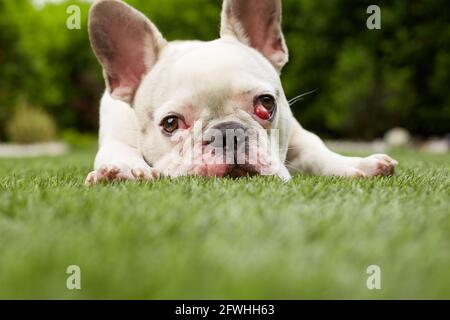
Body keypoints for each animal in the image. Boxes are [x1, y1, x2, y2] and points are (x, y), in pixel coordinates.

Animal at [84, 0, 398, 185]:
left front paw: (356, 164)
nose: (227, 133)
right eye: (170, 123)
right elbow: (117, 151)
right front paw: (123, 170)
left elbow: (317, 150)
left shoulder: (297, 132)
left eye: (266, 103)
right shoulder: (115, 135)